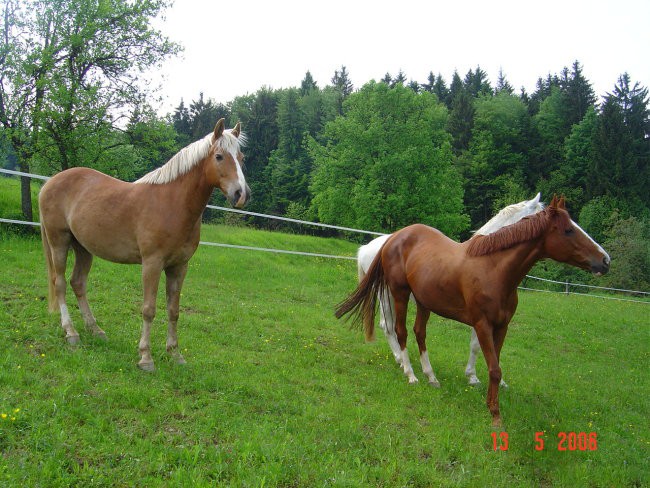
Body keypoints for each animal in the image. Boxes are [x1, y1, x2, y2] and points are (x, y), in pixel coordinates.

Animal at [39, 118, 248, 370]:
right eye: (219, 156)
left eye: (241, 157)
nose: (241, 194)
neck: (172, 204)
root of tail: (50, 182)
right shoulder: (152, 264)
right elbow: (149, 309)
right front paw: (146, 358)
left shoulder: (179, 267)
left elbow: (174, 311)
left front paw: (175, 354)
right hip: (59, 242)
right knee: (59, 283)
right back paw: (71, 332)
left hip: (84, 249)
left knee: (78, 283)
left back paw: (95, 330)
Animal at [334, 196, 608, 426]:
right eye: (568, 230)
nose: (605, 260)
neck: (493, 268)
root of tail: (392, 238)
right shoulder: (482, 324)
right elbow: (492, 365)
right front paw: (494, 412)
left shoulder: (501, 326)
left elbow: (494, 363)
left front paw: (487, 392)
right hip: (397, 294)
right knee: (397, 330)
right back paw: (409, 372)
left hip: (422, 301)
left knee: (419, 333)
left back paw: (431, 376)